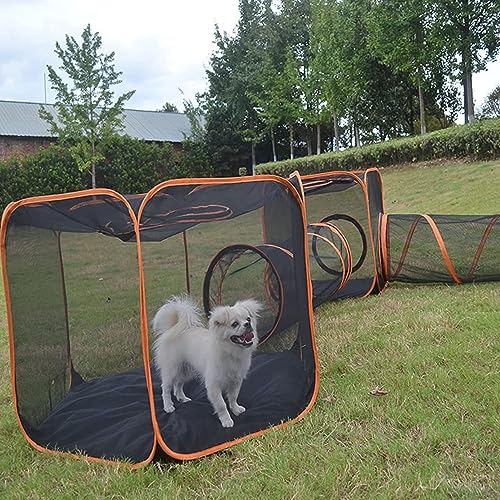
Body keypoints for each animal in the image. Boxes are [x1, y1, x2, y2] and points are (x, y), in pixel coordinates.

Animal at [152, 294, 262, 428]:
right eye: (234, 324)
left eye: (248, 319)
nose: (247, 324)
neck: (230, 352)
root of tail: (172, 328)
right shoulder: (213, 385)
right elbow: (221, 405)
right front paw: (226, 420)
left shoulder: (236, 381)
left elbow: (233, 397)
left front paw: (236, 409)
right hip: (172, 370)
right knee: (166, 389)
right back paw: (168, 406)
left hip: (186, 371)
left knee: (178, 385)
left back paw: (182, 398)